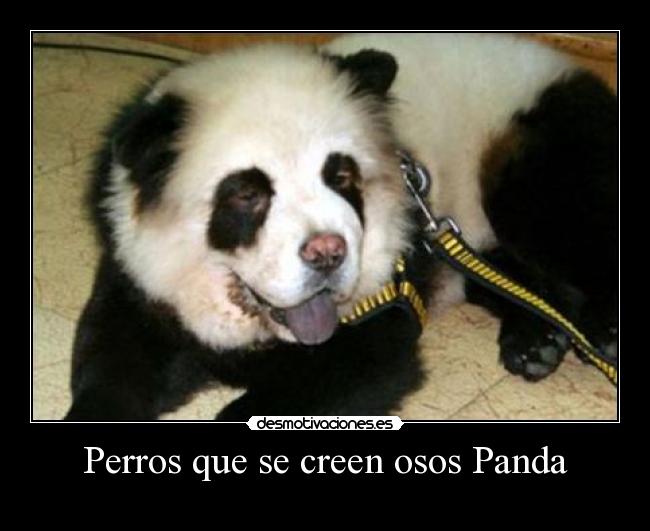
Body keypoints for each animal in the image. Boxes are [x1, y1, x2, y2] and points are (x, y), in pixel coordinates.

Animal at [64, 33, 618, 421]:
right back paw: (536, 340)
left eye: (341, 176)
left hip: (532, 151)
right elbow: (113, 359)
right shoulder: (141, 275)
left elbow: (357, 368)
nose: (327, 253)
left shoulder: (382, 299)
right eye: (247, 194)